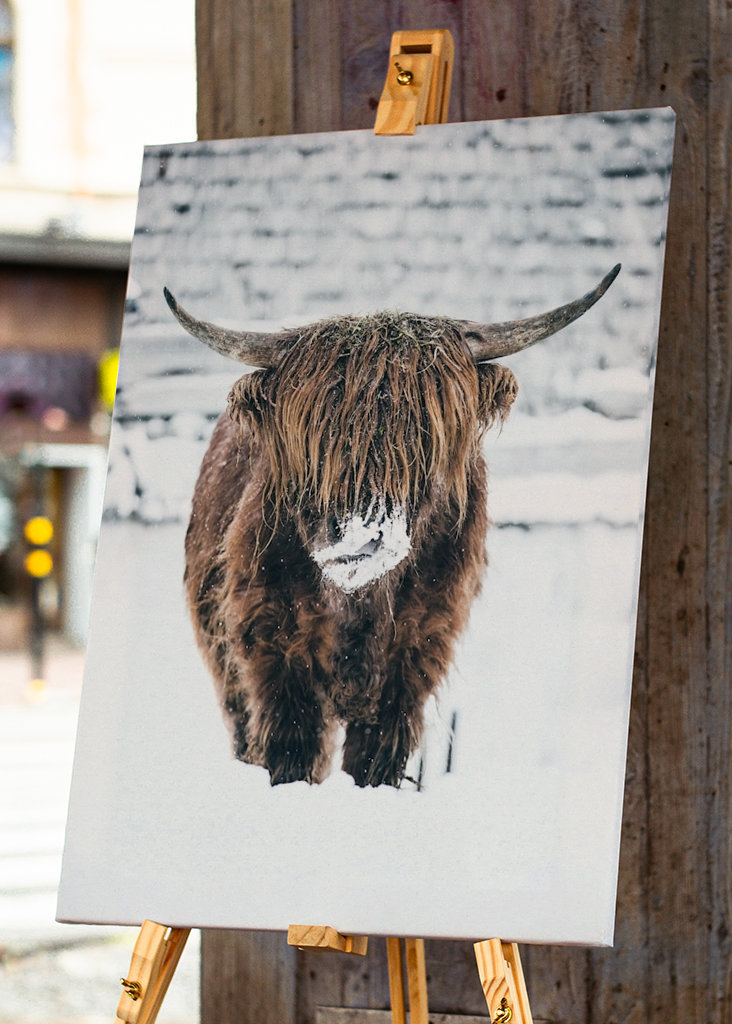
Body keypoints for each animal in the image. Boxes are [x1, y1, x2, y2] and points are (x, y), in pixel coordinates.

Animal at [164, 264, 620, 787]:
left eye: (423, 438)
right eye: (314, 440)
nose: (360, 539)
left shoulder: (418, 652)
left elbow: (376, 758)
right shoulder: (271, 644)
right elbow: (292, 750)